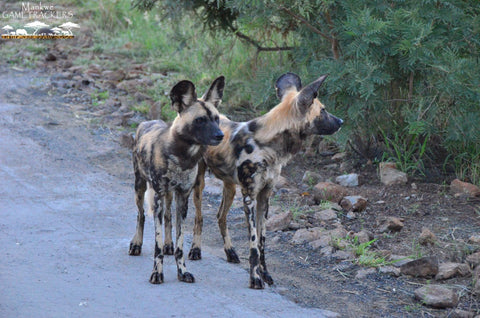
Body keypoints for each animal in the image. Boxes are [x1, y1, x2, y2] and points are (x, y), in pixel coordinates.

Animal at [127, 76, 225, 284]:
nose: (220, 135)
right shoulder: (157, 196)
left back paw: (168, 245)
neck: (182, 158)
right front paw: (157, 273)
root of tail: (147, 122)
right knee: (141, 215)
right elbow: (156, 246)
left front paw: (182, 271)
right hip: (140, 187)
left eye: (216, 119)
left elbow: (180, 243)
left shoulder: (183, 198)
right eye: (200, 120)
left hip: (174, 194)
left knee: (168, 217)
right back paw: (136, 244)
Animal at [186, 72, 344, 288]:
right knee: (199, 218)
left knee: (220, 216)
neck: (269, 145)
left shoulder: (264, 197)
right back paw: (195, 250)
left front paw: (265, 274)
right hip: (199, 184)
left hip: (230, 187)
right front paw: (255, 279)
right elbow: (253, 244)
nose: (341, 121)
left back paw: (230, 252)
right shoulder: (250, 198)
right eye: (323, 110)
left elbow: (262, 243)